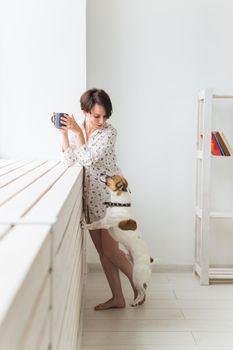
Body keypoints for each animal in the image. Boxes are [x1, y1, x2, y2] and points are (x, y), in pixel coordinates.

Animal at [82, 174, 157, 306]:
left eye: (111, 177)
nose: (102, 174)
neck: (118, 203)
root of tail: (150, 261)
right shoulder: (104, 221)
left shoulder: (104, 223)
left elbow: (94, 225)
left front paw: (85, 225)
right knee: (143, 289)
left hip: (136, 276)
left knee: (143, 291)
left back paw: (136, 301)